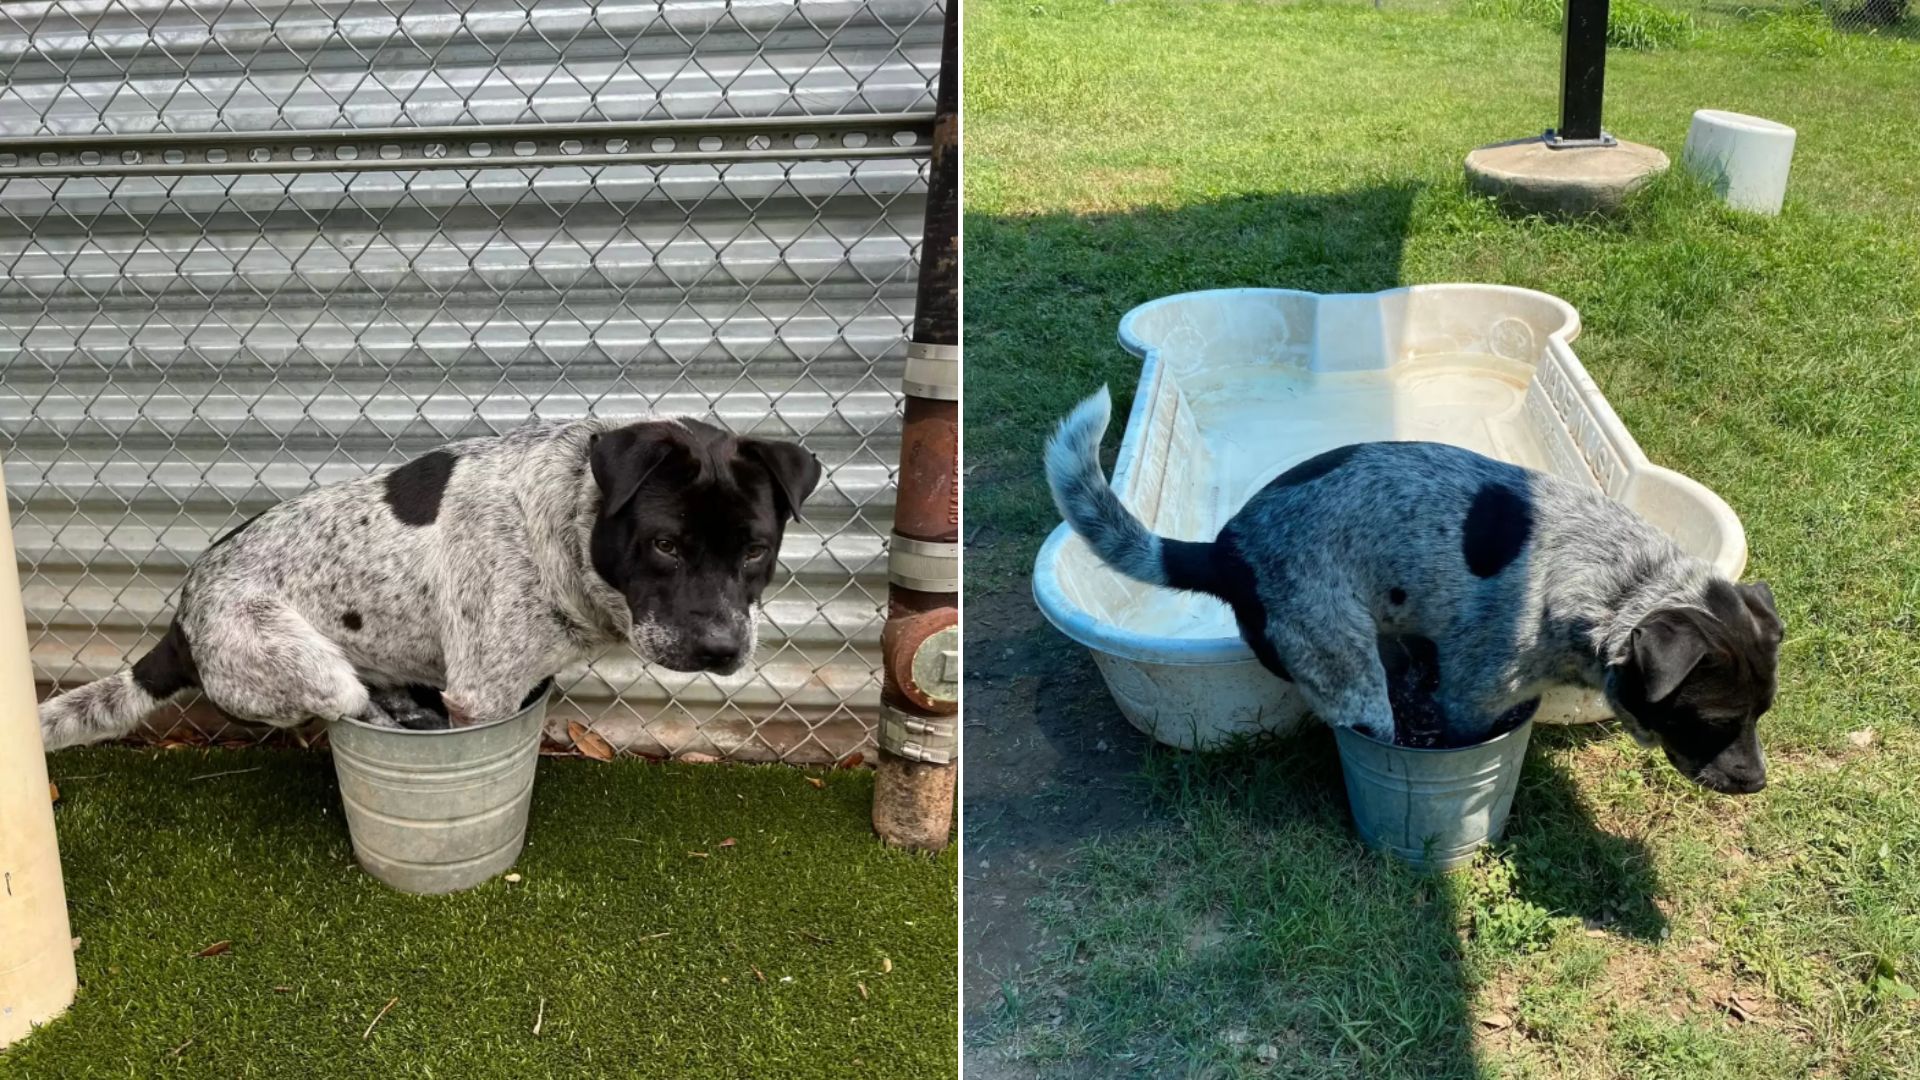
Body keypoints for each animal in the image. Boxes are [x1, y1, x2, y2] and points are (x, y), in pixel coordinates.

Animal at [37, 413, 817, 749]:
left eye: (757, 549)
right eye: (664, 545)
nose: (721, 649)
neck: (559, 524)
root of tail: (180, 623)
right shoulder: (482, 697)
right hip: (307, 667)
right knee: (345, 705)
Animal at [1052, 386, 1781, 791]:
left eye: (1762, 715)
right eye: (1712, 720)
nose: (1756, 786)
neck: (1619, 585)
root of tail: (1228, 550)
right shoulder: (1472, 696)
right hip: (1354, 680)